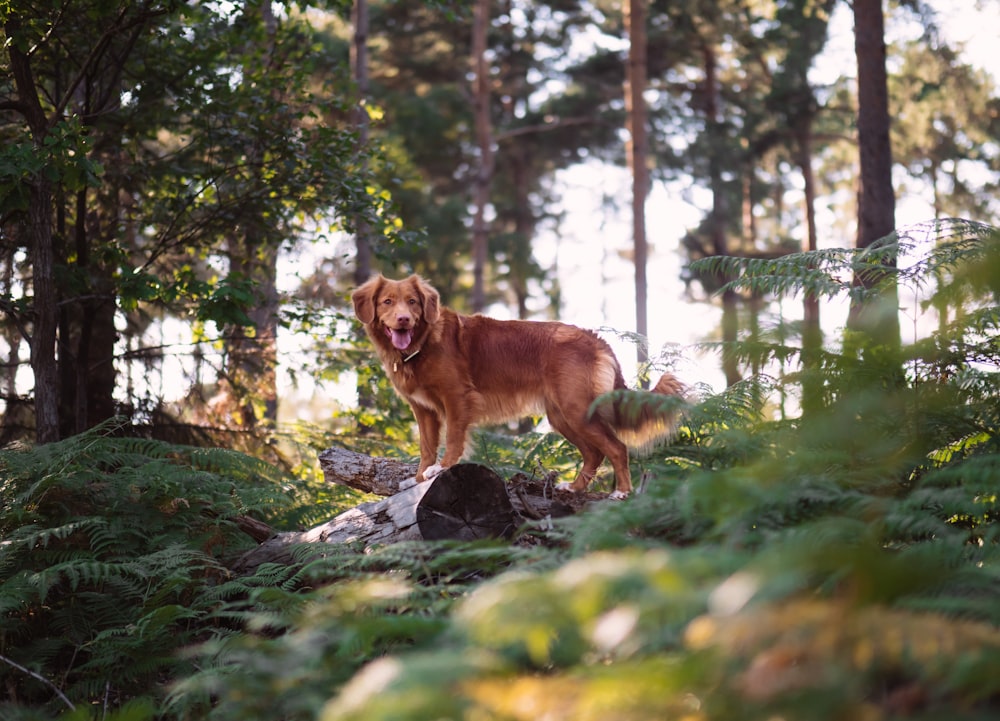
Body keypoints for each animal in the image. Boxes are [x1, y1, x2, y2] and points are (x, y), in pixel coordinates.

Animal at [348, 272, 684, 498]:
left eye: (413, 302)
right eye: (387, 302)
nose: (403, 319)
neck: (422, 343)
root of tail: (596, 338)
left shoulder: (457, 398)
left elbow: (453, 439)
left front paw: (442, 468)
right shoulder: (423, 409)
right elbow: (426, 446)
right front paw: (419, 478)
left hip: (576, 409)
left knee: (616, 447)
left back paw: (622, 492)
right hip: (562, 416)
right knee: (594, 453)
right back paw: (574, 487)